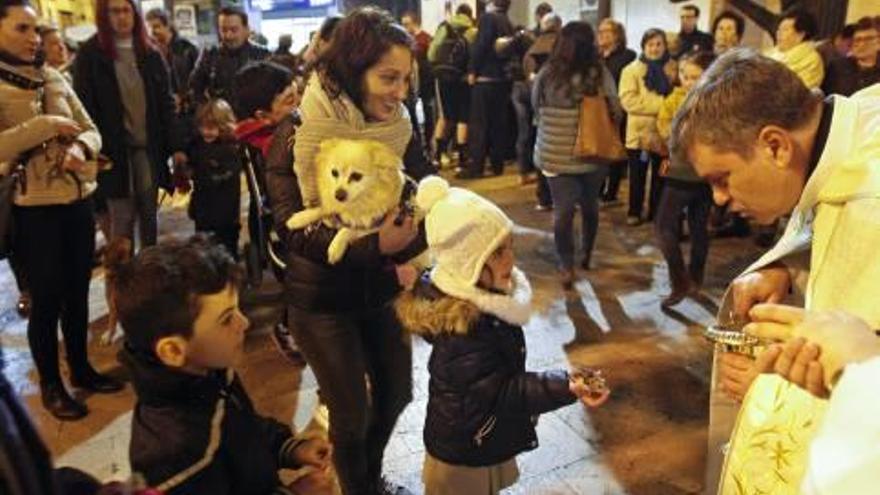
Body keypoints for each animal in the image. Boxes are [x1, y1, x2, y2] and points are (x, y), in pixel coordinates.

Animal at [288, 138, 412, 266]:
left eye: (356, 176)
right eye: (334, 173)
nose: (338, 194)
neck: (355, 203)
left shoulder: (377, 224)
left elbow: (349, 229)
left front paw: (335, 247)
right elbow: (322, 209)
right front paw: (300, 218)